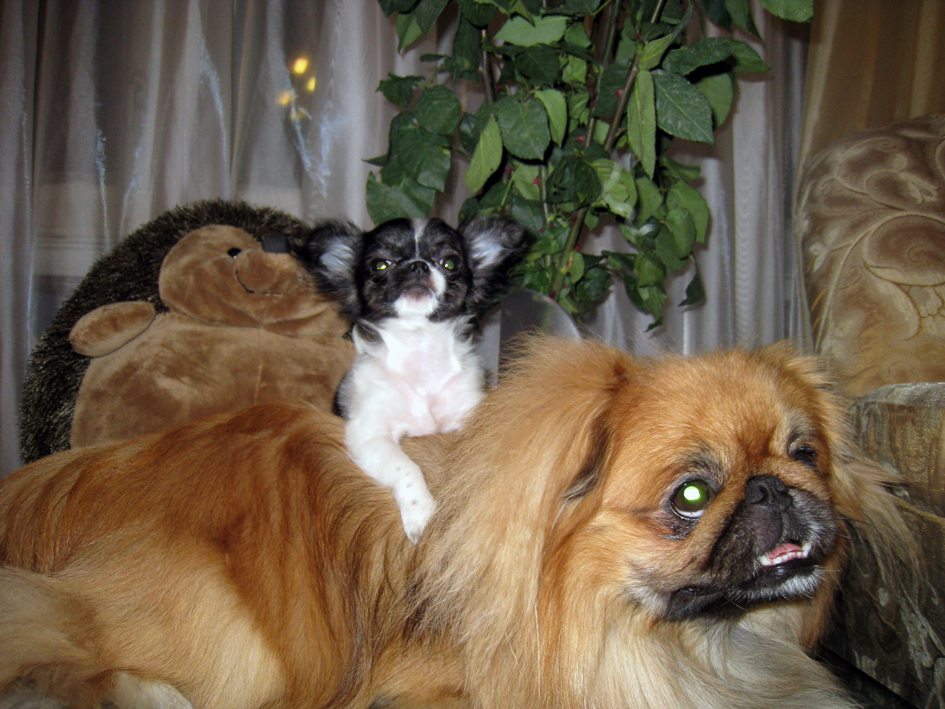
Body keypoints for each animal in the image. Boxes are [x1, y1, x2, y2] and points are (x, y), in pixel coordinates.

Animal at [290, 216, 528, 542]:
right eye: (380, 264)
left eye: (449, 262)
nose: (417, 266)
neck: (420, 352)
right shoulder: (369, 436)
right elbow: (407, 467)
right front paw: (422, 514)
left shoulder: (468, 414)